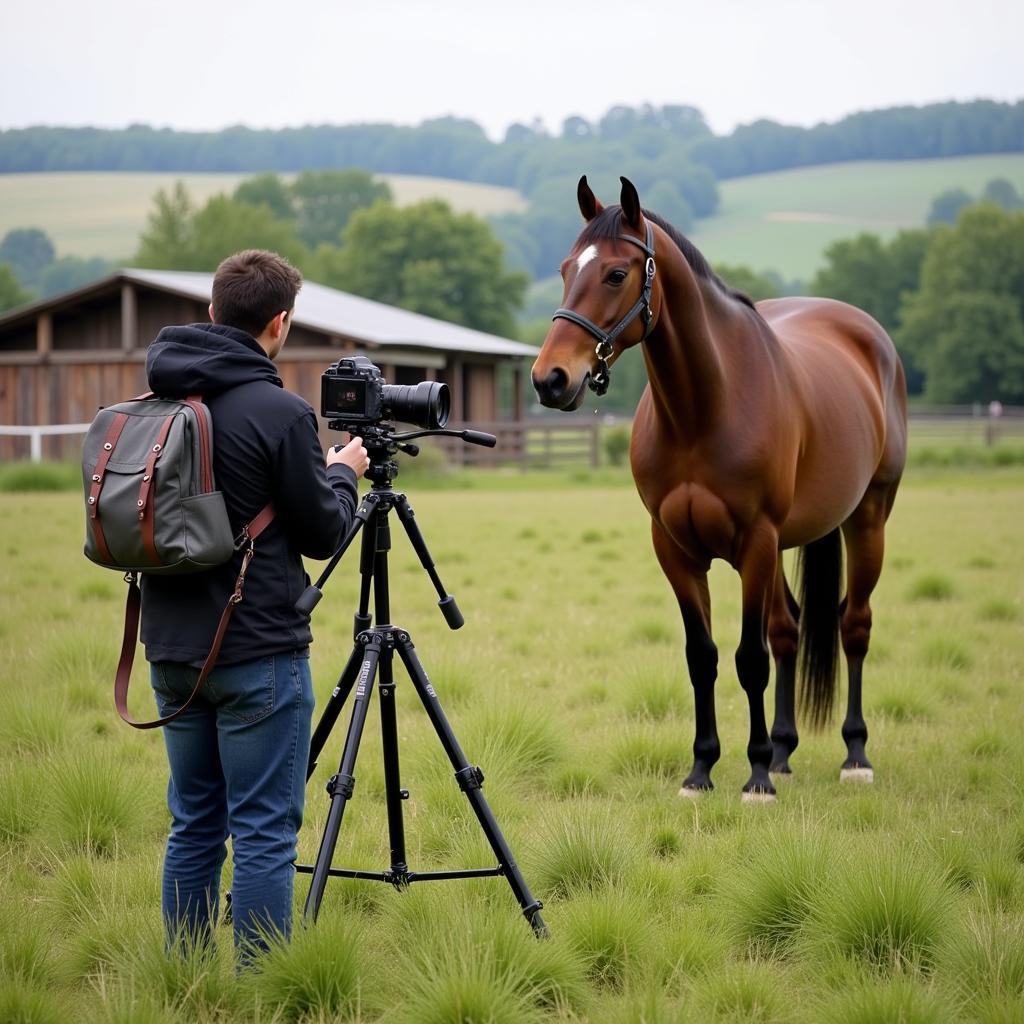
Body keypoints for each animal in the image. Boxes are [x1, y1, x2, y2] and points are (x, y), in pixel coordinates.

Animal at [532, 176, 909, 798]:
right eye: (565, 269)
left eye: (615, 274)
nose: (550, 379)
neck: (704, 409)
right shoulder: (675, 549)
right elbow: (702, 655)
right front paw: (702, 769)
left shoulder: (754, 542)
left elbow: (749, 657)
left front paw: (754, 779)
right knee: (789, 629)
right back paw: (783, 751)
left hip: (867, 520)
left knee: (853, 625)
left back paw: (853, 755)